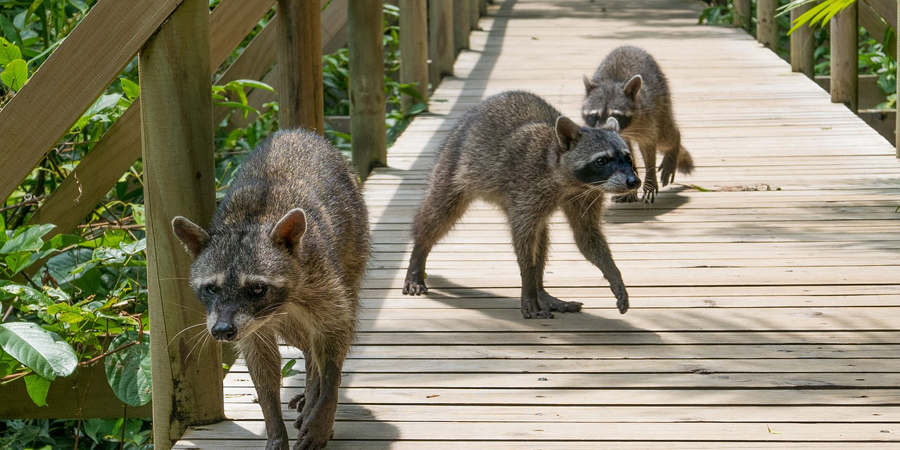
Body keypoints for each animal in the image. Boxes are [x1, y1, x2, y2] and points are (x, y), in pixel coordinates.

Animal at [172, 129, 370, 450]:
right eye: (211, 288)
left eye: (256, 288)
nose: (222, 331)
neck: (251, 220)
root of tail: (296, 131)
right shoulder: (250, 325)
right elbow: (261, 364)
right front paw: (274, 424)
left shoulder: (321, 279)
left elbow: (334, 333)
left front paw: (326, 398)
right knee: (304, 340)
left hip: (354, 243)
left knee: (328, 327)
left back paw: (315, 392)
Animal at [400, 90, 640, 316]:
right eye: (602, 161)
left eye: (628, 158)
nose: (634, 181)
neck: (570, 180)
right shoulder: (528, 188)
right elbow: (523, 241)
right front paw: (528, 283)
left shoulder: (586, 195)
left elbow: (586, 235)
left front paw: (613, 273)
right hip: (453, 163)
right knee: (439, 212)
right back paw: (419, 253)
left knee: (541, 235)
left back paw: (541, 291)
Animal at [584, 44, 696, 203]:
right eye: (594, 116)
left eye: (616, 115)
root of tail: (628, 46)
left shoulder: (646, 116)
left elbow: (648, 144)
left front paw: (649, 178)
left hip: (661, 100)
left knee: (665, 137)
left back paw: (674, 144)